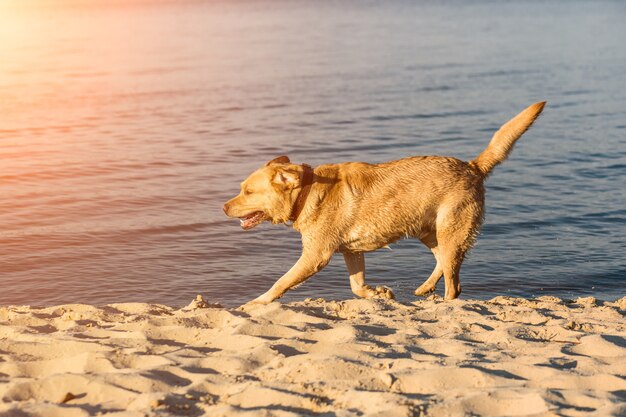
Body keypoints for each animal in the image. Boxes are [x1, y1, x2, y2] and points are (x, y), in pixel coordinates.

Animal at [223, 101, 540, 302]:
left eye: (248, 192)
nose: (223, 207)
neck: (308, 191)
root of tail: (472, 166)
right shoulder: (351, 251)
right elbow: (356, 286)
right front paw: (377, 293)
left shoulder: (315, 256)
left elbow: (280, 282)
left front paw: (254, 304)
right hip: (430, 232)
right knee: (442, 262)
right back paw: (425, 289)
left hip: (451, 230)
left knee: (453, 284)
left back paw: (444, 301)